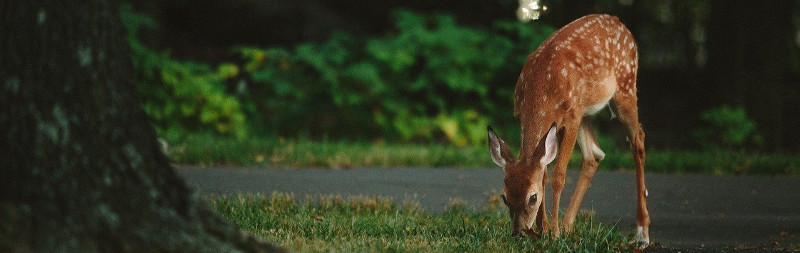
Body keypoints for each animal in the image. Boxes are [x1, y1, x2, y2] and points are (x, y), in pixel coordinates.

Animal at [488, 14, 648, 249]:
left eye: (532, 198)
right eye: (505, 197)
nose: (518, 233)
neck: (542, 88)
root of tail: (618, 21)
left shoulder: (571, 118)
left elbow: (558, 175)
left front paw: (552, 234)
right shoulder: (528, 116)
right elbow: (543, 173)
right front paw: (543, 230)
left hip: (625, 86)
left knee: (638, 140)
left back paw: (642, 233)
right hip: (586, 111)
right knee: (594, 154)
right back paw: (567, 225)